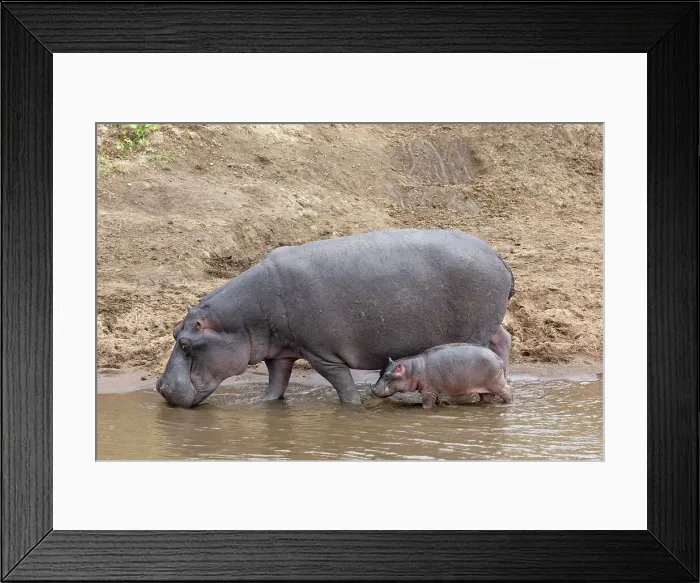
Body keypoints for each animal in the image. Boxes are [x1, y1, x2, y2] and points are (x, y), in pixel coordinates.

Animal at [372, 344, 513, 408]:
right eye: (380, 372)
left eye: (387, 376)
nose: (373, 389)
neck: (413, 369)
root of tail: (499, 359)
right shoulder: (435, 390)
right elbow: (436, 400)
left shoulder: (428, 391)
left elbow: (427, 403)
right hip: (486, 388)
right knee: (487, 397)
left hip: (496, 383)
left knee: (508, 391)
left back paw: (507, 404)